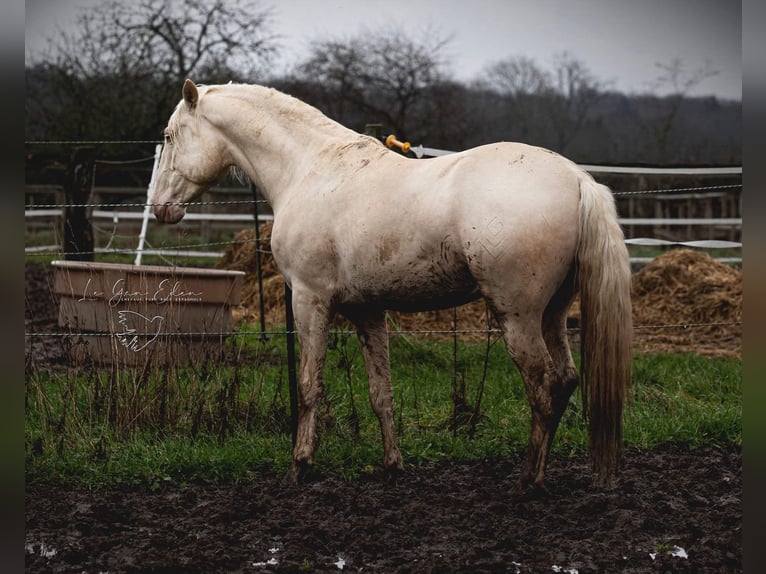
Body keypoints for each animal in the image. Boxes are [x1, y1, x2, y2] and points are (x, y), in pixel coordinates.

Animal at [153, 79, 632, 488]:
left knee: (543, 387)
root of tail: (577, 179)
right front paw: (393, 466)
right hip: (553, 314)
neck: (310, 169)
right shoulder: (368, 310)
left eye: (170, 136)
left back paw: (528, 478)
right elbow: (380, 393)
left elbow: (308, 387)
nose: (158, 207)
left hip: (518, 318)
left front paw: (300, 465)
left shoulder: (310, 300)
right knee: (566, 380)